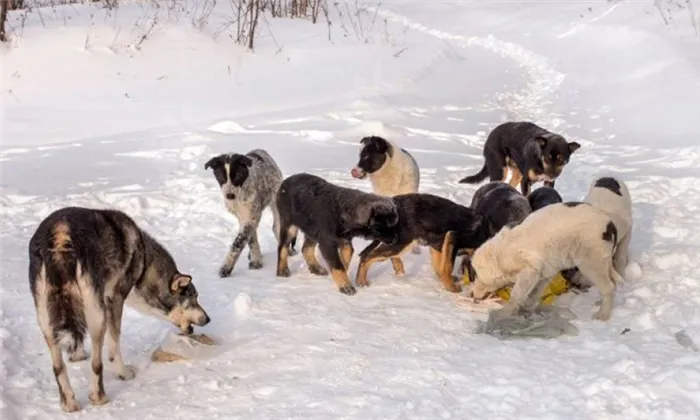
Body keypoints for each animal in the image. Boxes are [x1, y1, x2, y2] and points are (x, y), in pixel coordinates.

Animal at [29, 208, 211, 412]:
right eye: (194, 297)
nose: (208, 318)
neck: (144, 262)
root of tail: (61, 237)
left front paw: (77, 355)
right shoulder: (114, 300)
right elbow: (114, 343)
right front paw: (123, 373)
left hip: (46, 321)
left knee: (58, 367)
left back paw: (68, 404)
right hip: (97, 317)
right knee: (97, 364)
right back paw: (99, 397)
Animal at [205, 149, 298, 278]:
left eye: (238, 176)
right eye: (221, 177)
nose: (230, 195)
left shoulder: (250, 217)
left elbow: (237, 244)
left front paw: (226, 268)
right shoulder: (245, 217)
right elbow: (251, 239)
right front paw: (256, 260)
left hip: (276, 204)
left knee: (277, 228)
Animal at [356, 193, 492, 292]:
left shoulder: (439, 245)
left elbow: (440, 266)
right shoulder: (454, 238)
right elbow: (447, 267)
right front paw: (452, 288)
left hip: (402, 242)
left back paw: (398, 269)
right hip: (402, 242)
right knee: (366, 257)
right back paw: (361, 282)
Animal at [464, 202, 624, 320]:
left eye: (473, 277)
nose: (471, 295)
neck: (496, 257)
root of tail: (610, 225)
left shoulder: (530, 269)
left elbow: (517, 293)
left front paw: (506, 313)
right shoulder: (543, 273)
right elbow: (534, 293)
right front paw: (527, 309)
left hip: (590, 263)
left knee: (608, 287)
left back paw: (603, 315)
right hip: (601, 263)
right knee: (611, 282)